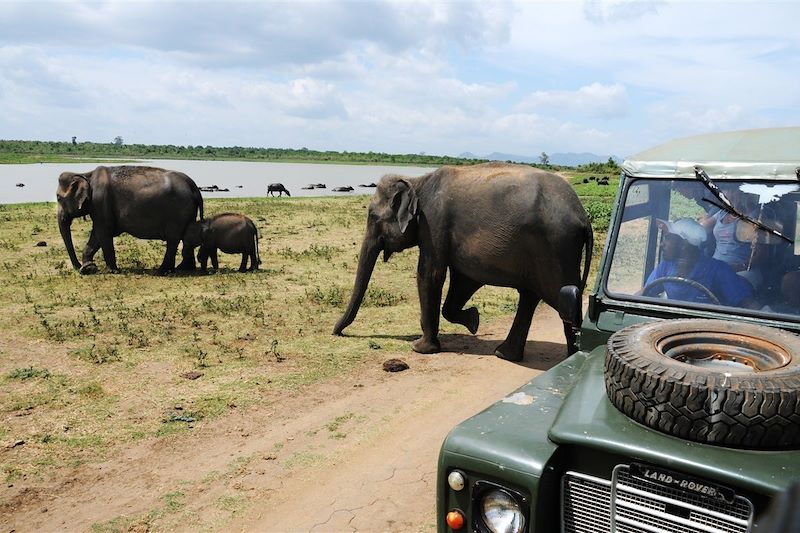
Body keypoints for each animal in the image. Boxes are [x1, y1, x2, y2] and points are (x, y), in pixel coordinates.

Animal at [56, 165, 203, 274]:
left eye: (58, 197)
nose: (77, 267)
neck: (86, 174)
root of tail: (194, 187)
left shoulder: (100, 202)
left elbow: (102, 232)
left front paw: (111, 271)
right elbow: (97, 235)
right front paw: (89, 268)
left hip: (178, 212)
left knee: (173, 240)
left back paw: (162, 271)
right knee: (186, 238)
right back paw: (182, 268)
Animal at [332, 162, 592, 362]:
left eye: (373, 217)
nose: (336, 333)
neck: (417, 182)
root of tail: (583, 218)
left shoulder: (434, 225)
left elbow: (430, 275)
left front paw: (420, 348)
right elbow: (462, 281)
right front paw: (474, 321)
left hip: (556, 251)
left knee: (563, 301)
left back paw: (570, 357)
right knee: (530, 297)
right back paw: (506, 354)